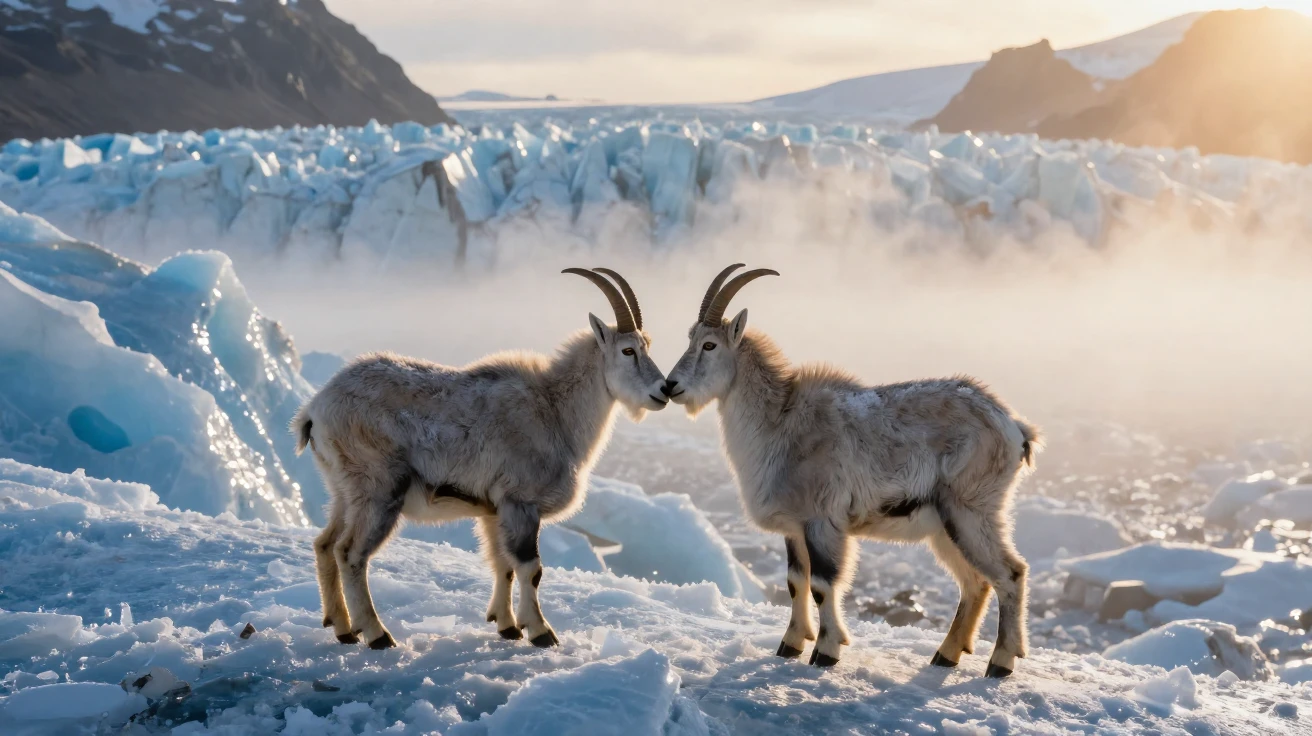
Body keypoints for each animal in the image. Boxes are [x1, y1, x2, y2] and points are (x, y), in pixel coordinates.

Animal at [293, 268, 668, 650]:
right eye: (627, 350)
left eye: (647, 348)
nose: (664, 391)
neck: (554, 411)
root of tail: (315, 410)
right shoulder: (520, 503)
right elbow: (530, 569)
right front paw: (541, 632)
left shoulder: (493, 511)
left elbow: (502, 564)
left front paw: (507, 626)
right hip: (379, 491)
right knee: (351, 554)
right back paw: (377, 634)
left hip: (344, 492)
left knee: (325, 544)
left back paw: (342, 628)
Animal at [661, 264, 1040, 677]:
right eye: (690, 339)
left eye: (710, 345)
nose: (670, 385)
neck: (780, 423)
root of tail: (1014, 428)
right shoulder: (795, 529)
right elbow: (796, 581)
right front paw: (790, 645)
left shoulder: (823, 523)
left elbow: (823, 584)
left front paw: (826, 651)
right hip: (945, 526)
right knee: (975, 583)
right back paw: (946, 655)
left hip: (972, 510)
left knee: (1010, 573)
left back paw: (1001, 661)